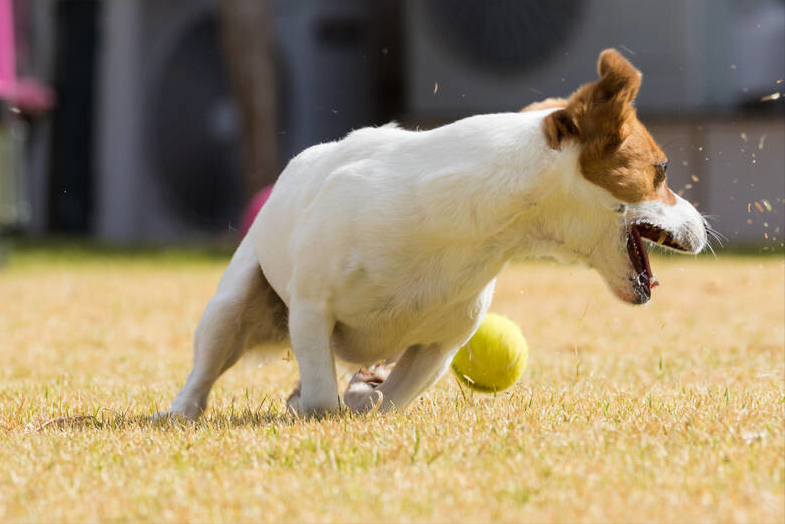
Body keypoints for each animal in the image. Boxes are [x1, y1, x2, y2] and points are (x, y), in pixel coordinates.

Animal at [156, 48, 708, 418]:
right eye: (661, 170)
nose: (703, 225)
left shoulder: (440, 346)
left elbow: (389, 399)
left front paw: (364, 399)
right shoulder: (312, 310)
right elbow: (322, 393)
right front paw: (324, 405)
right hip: (230, 309)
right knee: (206, 370)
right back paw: (180, 411)